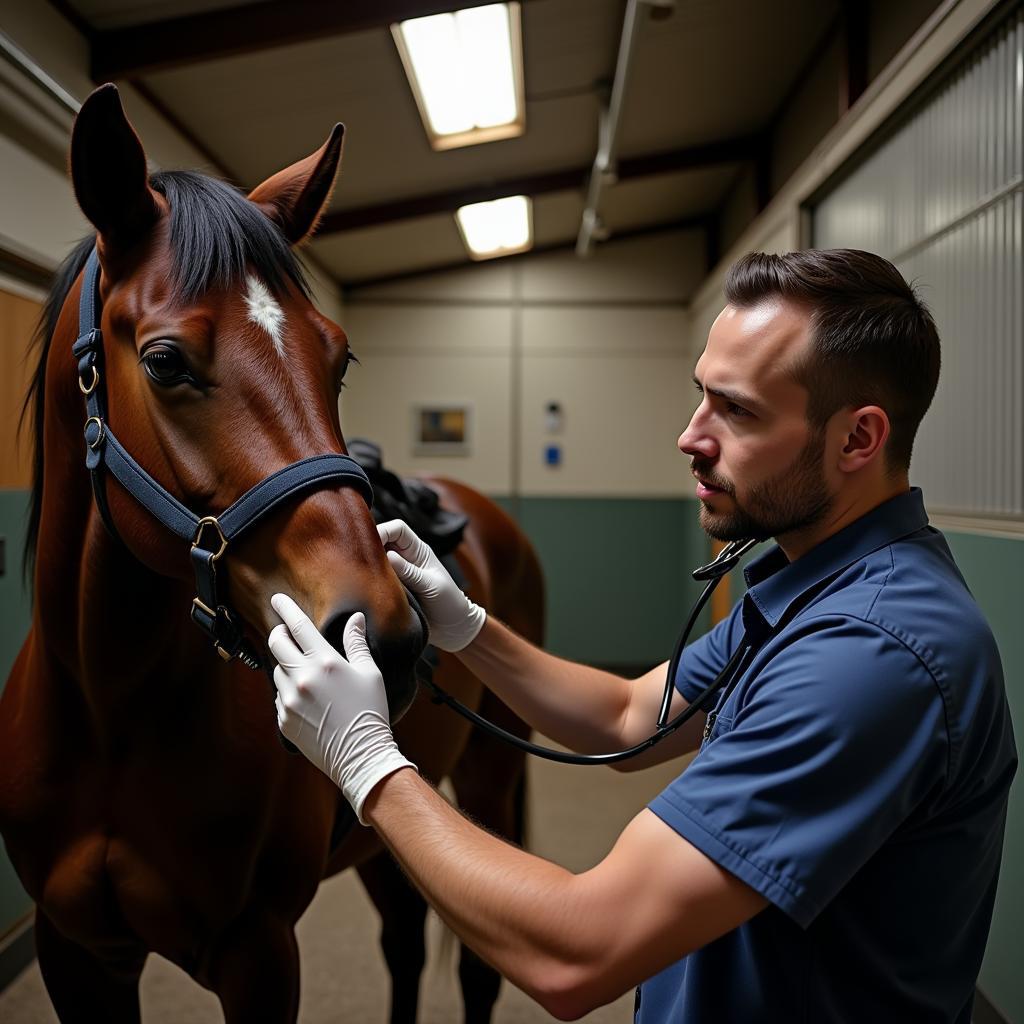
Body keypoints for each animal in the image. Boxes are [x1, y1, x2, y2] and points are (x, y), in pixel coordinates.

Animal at [0, 81, 544, 1024]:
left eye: (341, 356)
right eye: (165, 361)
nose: (392, 637)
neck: (109, 710)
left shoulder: (258, 953)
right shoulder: (75, 951)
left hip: (491, 773)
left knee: (478, 965)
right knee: (405, 939)